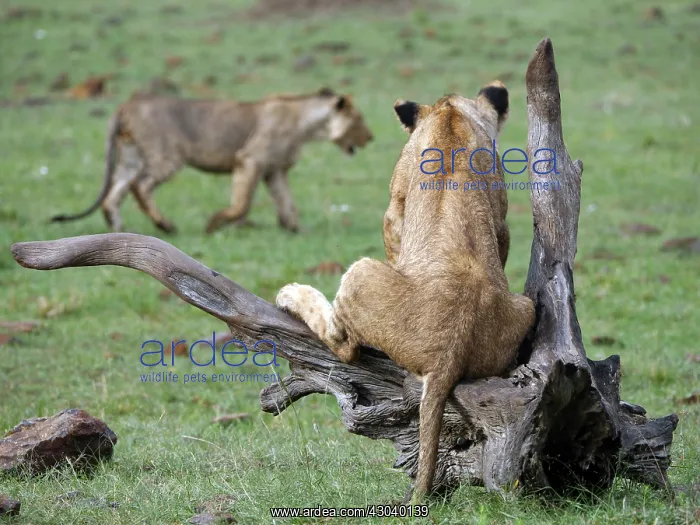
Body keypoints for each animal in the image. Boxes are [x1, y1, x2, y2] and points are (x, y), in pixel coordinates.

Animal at [50, 87, 373, 234]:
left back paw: (119, 230)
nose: (370, 138)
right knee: (139, 186)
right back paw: (166, 226)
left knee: (114, 193)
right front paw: (214, 224)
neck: (307, 125)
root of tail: (125, 104)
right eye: (359, 119)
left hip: (131, 156)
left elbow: (286, 202)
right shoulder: (250, 160)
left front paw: (295, 230)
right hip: (166, 156)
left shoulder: (275, 170)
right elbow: (242, 203)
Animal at [274, 81, 536, 501]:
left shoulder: (395, 206)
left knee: (344, 345)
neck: (450, 114)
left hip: (360, 273)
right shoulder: (501, 215)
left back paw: (291, 294)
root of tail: (449, 355)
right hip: (526, 305)